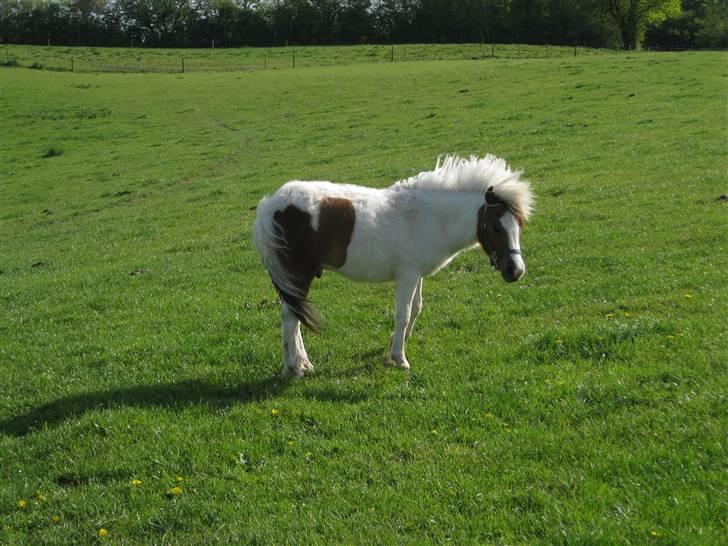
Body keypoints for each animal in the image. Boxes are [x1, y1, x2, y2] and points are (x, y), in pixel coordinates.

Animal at [255, 153, 536, 374]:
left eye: (519, 225)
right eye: (496, 227)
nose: (516, 270)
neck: (428, 216)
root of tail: (269, 206)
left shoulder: (417, 275)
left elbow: (416, 309)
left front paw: (398, 343)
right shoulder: (407, 276)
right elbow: (403, 314)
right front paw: (399, 358)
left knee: (294, 316)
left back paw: (303, 362)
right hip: (298, 275)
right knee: (289, 318)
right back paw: (293, 368)